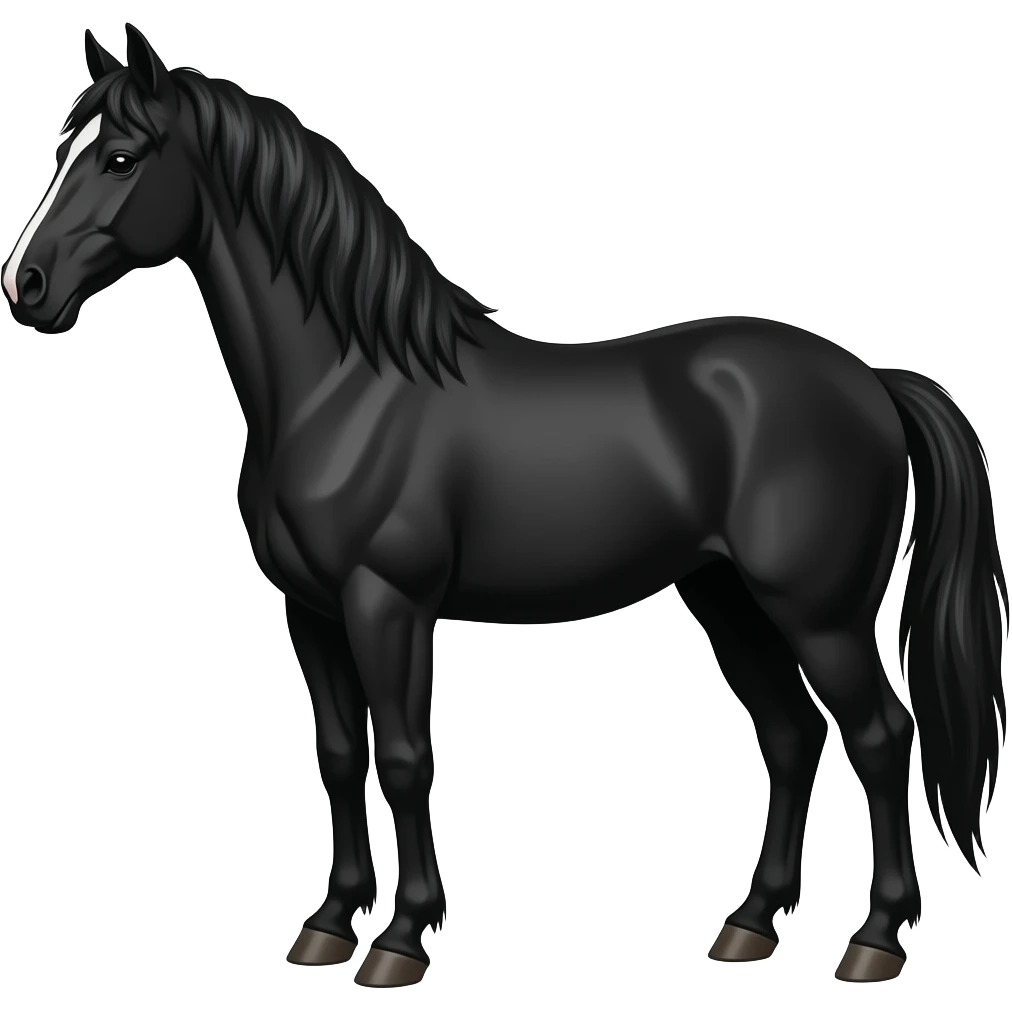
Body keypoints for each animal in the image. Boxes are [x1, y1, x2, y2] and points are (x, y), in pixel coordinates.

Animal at [3, 24, 1006, 988]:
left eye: (122, 157)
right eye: (60, 146)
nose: (26, 287)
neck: (346, 386)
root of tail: (871, 381)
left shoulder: (388, 604)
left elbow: (405, 758)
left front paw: (401, 940)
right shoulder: (311, 609)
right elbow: (340, 755)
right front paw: (328, 926)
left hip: (818, 613)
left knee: (882, 737)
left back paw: (875, 941)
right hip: (728, 599)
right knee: (794, 737)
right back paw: (749, 928)